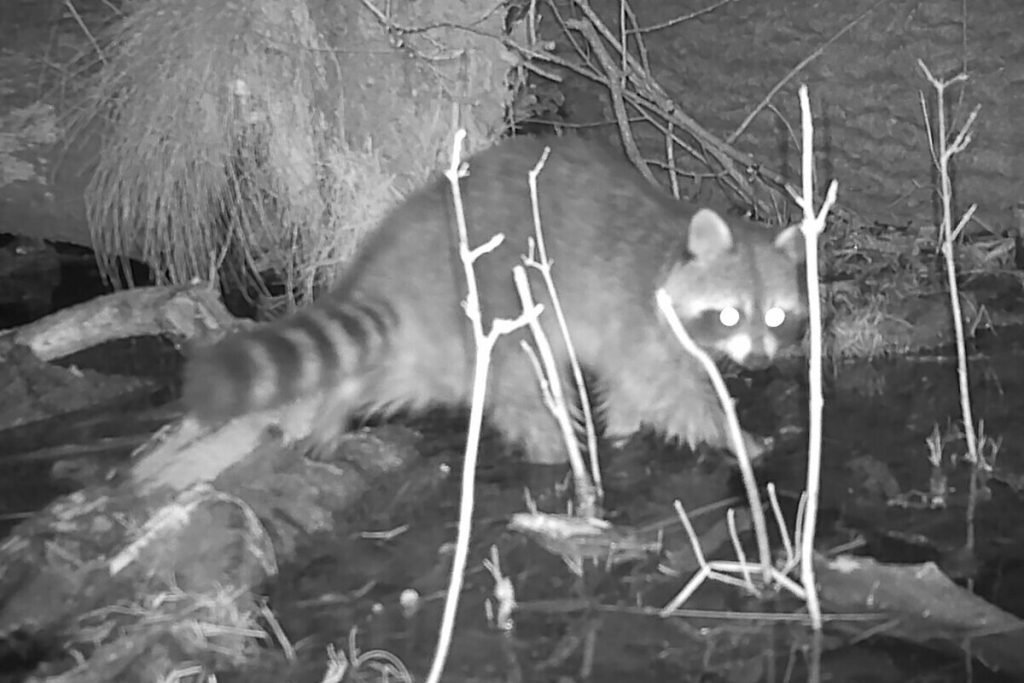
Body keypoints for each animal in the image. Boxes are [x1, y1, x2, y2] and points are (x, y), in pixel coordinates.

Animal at [183, 136, 806, 465]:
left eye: (777, 316)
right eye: (729, 313)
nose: (759, 361)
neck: (673, 246)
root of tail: (393, 261)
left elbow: (631, 387)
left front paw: (625, 427)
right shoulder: (637, 315)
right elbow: (668, 390)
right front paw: (735, 435)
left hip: (432, 337)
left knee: (408, 375)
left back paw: (339, 400)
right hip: (490, 295)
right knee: (518, 381)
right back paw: (553, 445)